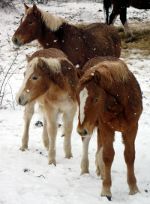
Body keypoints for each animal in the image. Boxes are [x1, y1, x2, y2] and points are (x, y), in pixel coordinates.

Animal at [77, 56, 142, 200]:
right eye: (78, 98)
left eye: (96, 99)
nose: (80, 130)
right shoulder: (106, 127)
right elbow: (108, 155)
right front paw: (106, 189)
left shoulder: (132, 128)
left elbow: (130, 155)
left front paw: (133, 188)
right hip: (93, 124)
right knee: (86, 141)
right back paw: (85, 168)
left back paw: (100, 169)